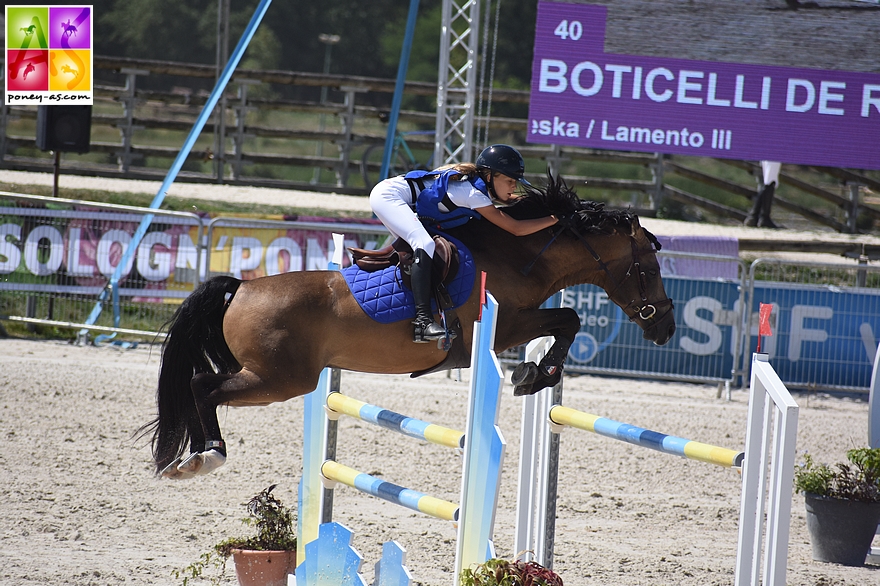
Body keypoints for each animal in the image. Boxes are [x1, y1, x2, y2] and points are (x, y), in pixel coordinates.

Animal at [144, 171, 676, 476]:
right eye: (649, 270)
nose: (665, 329)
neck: (517, 256)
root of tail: (241, 287)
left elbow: (567, 318)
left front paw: (535, 373)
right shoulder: (502, 328)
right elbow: (569, 317)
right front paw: (536, 375)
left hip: (274, 376)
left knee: (200, 383)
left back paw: (192, 457)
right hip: (281, 379)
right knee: (203, 385)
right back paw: (207, 455)